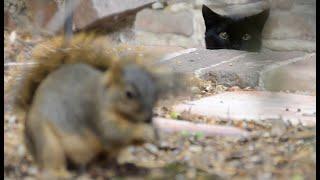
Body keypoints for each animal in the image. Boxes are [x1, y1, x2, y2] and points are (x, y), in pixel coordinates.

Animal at [12, 32, 186, 177]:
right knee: (51, 161)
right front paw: (145, 131)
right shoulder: (95, 113)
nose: (148, 118)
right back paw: (61, 173)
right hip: (46, 138)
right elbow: (114, 133)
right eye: (128, 94)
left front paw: (155, 133)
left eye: (156, 92)